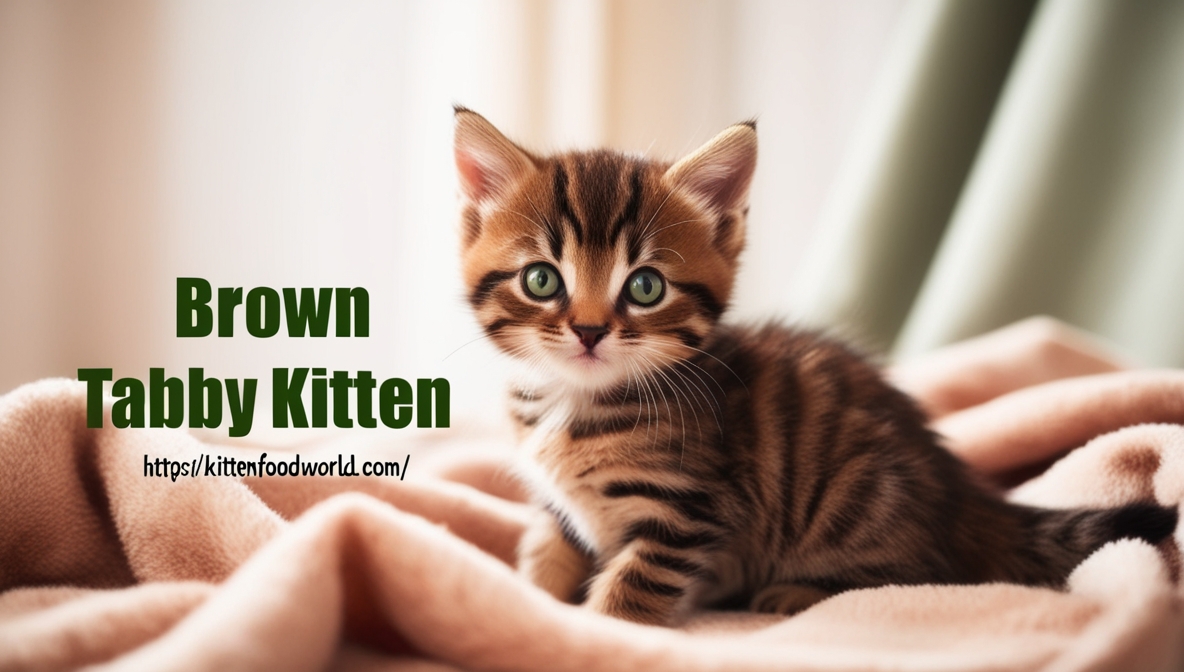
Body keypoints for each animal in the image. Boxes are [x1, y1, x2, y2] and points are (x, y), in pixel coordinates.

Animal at [449, 107, 1174, 629]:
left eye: (646, 287)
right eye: (542, 279)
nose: (591, 330)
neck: (575, 403)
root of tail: (961, 494)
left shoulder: (694, 508)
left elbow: (634, 586)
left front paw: (601, 629)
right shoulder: (560, 507)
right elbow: (547, 546)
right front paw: (529, 595)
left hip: (856, 503)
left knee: (923, 572)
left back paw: (795, 593)